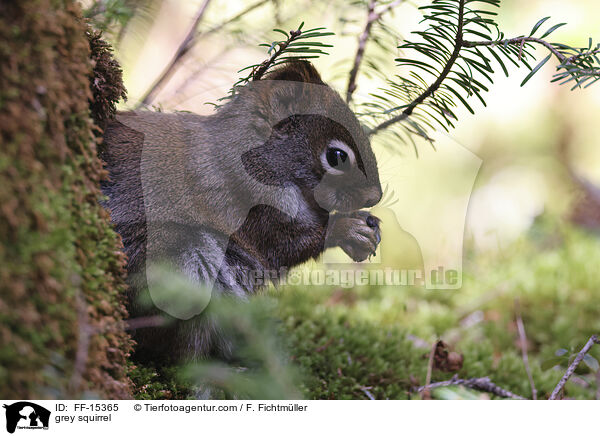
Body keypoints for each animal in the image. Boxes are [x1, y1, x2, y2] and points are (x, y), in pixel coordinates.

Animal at [101, 61, 382, 362]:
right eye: (337, 157)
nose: (375, 197)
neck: (255, 158)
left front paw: (369, 225)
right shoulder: (250, 206)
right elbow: (283, 248)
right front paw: (347, 229)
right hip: (177, 269)